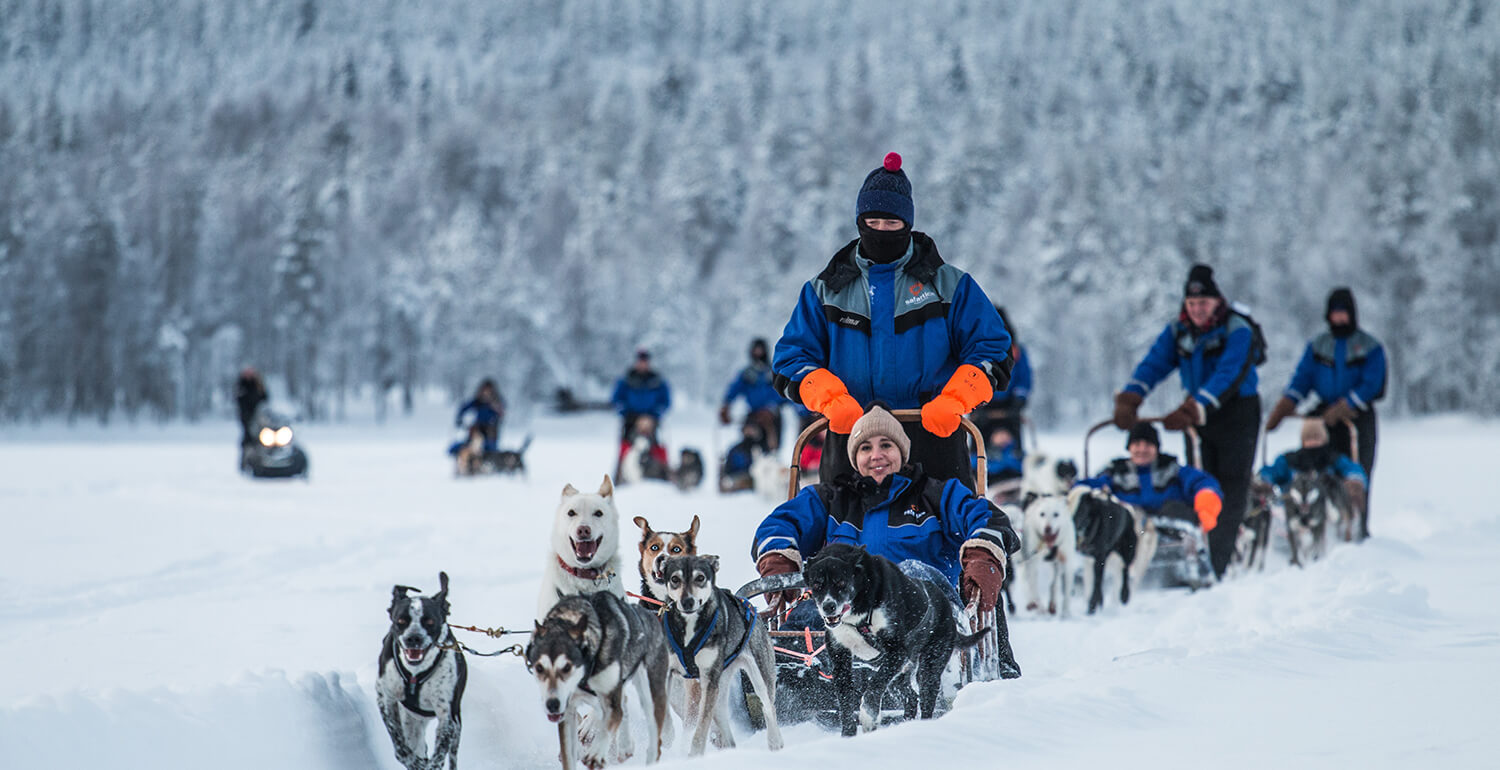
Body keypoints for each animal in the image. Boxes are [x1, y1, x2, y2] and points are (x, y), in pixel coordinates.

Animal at [378, 570, 465, 768]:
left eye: (430, 622)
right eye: (401, 620)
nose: (413, 638)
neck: (415, 674)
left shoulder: (447, 716)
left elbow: (439, 755)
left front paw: (430, 764)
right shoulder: (387, 700)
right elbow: (401, 749)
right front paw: (414, 762)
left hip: (456, 724)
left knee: (453, 756)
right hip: (410, 723)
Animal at [804, 540, 990, 732]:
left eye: (841, 582)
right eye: (816, 585)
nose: (828, 606)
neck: (859, 613)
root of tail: (948, 609)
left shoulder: (897, 651)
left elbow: (875, 685)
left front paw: (868, 715)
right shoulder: (840, 658)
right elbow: (845, 701)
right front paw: (848, 734)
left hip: (928, 666)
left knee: (926, 697)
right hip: (898, 676)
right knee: (911, 698)